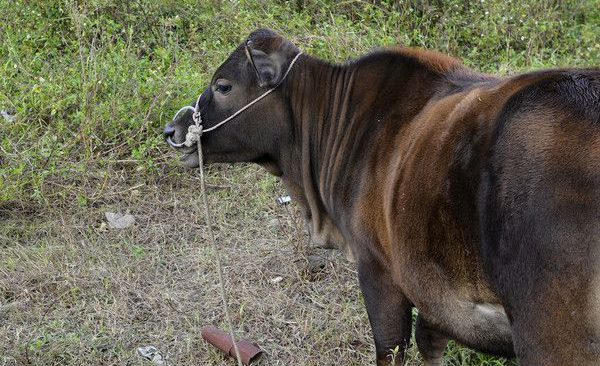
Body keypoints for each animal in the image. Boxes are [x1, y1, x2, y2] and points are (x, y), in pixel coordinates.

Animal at [163, 29, 600, 366]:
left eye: (223, 86)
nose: (172, 129)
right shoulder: (431, 289)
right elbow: (430, 341)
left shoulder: (379, 271)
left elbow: (390, 349)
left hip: (551, 336)